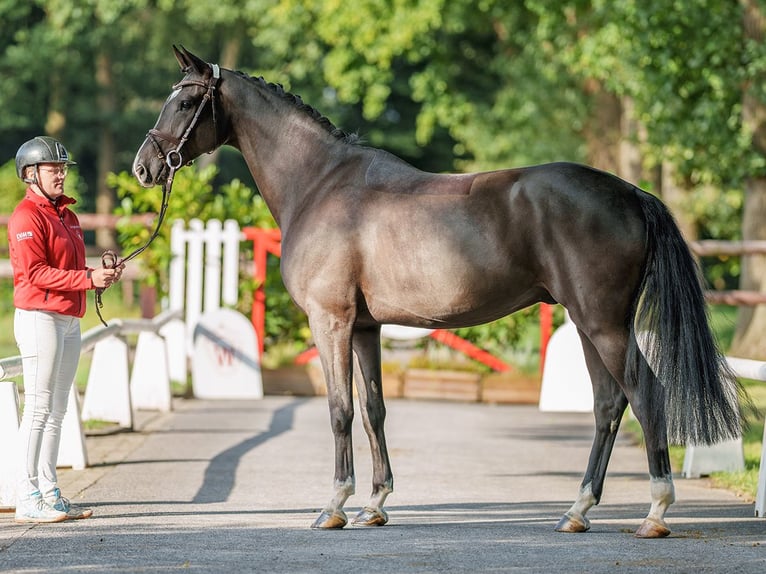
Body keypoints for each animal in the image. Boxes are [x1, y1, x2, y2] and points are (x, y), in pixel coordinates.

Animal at [135, 48, 748, 540]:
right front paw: (376, 505)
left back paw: (655, 513)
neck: (321, 183)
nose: (144, 167)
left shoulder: (330, 321)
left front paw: (335, 506)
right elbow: (374, 409)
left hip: (604, 324)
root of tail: (630, 193)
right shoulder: (365, 326)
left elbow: (338, 409)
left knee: (645, 394)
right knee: (607, 404)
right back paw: (576, 511)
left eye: (186, 102)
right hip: (589, 324)